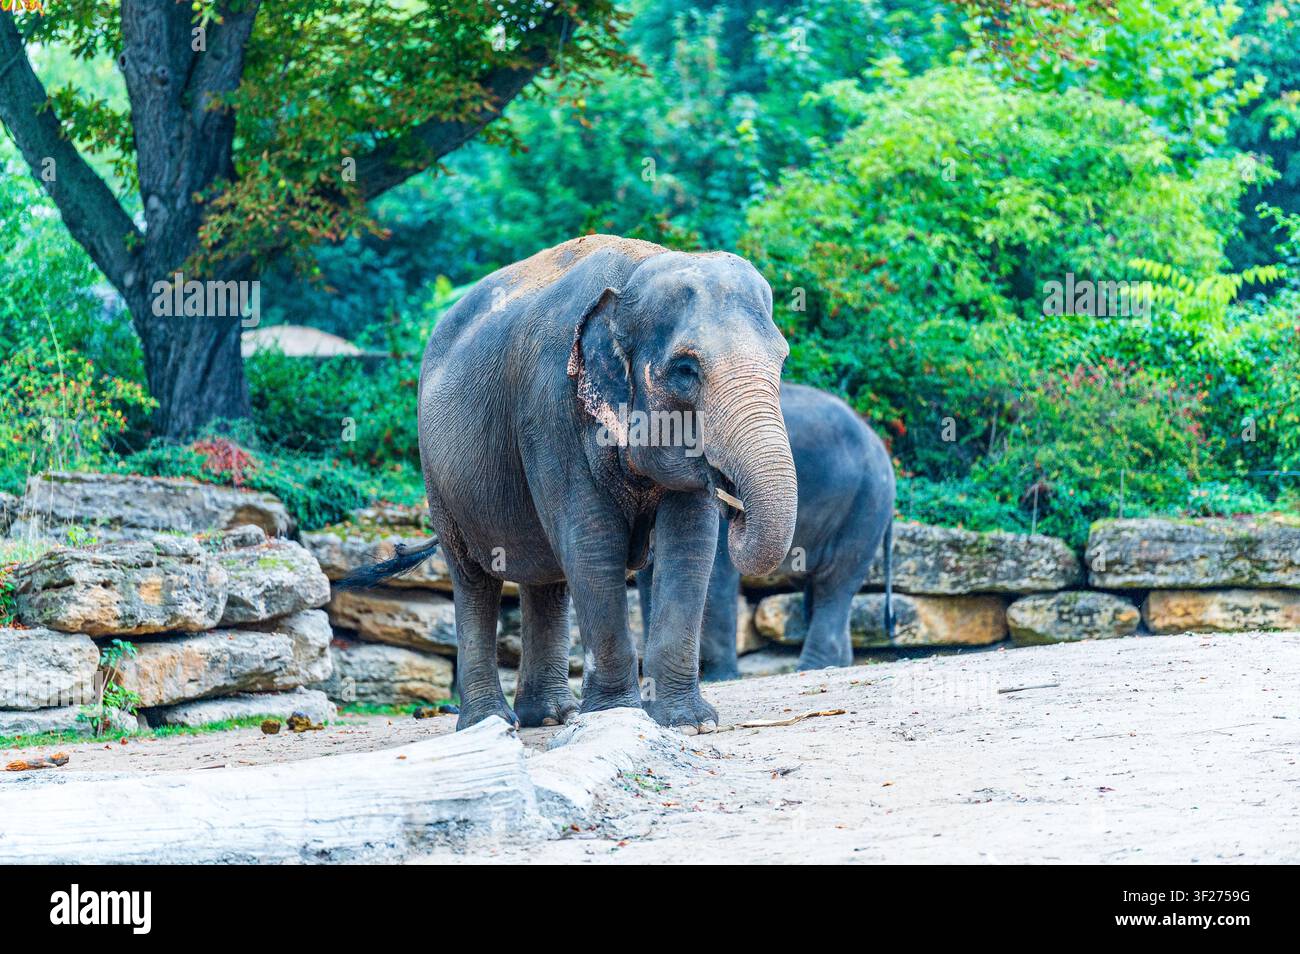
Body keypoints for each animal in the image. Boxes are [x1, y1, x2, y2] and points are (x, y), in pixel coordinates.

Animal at [340, 235, 797, 733]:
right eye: (685, 369)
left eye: (782, 360)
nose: (734, 499)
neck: (635, 276)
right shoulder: (551, 410)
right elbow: (593, 540)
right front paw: (616, 716)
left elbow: (690, 543)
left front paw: (688, 723)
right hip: (437, 476)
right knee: (475, 579)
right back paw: (490, 722)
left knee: (546, 576)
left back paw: (549, 716)